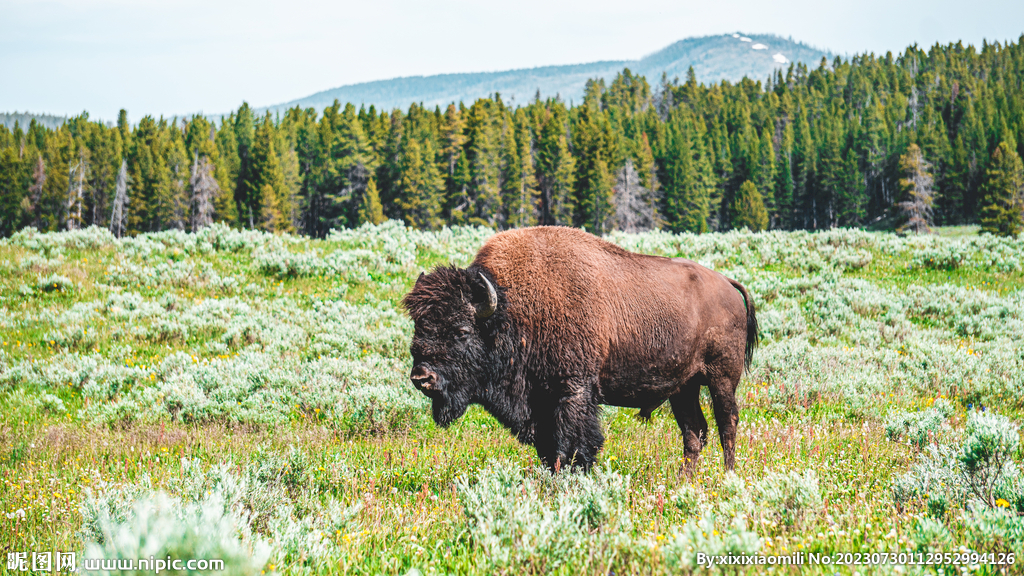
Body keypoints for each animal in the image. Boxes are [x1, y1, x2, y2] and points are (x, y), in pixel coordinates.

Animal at [403, 226, 757, 473]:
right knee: (694, 433)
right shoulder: (541, 404)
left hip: (721, 378)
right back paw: (685, 481)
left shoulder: (573, 392)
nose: (422, 377)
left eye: (462, 331)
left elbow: (573, 445)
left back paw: (727, 477)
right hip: (684, 388)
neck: (510, 310)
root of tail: (727, 284)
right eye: (418, 327)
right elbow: (550, 450)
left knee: (727, 423)